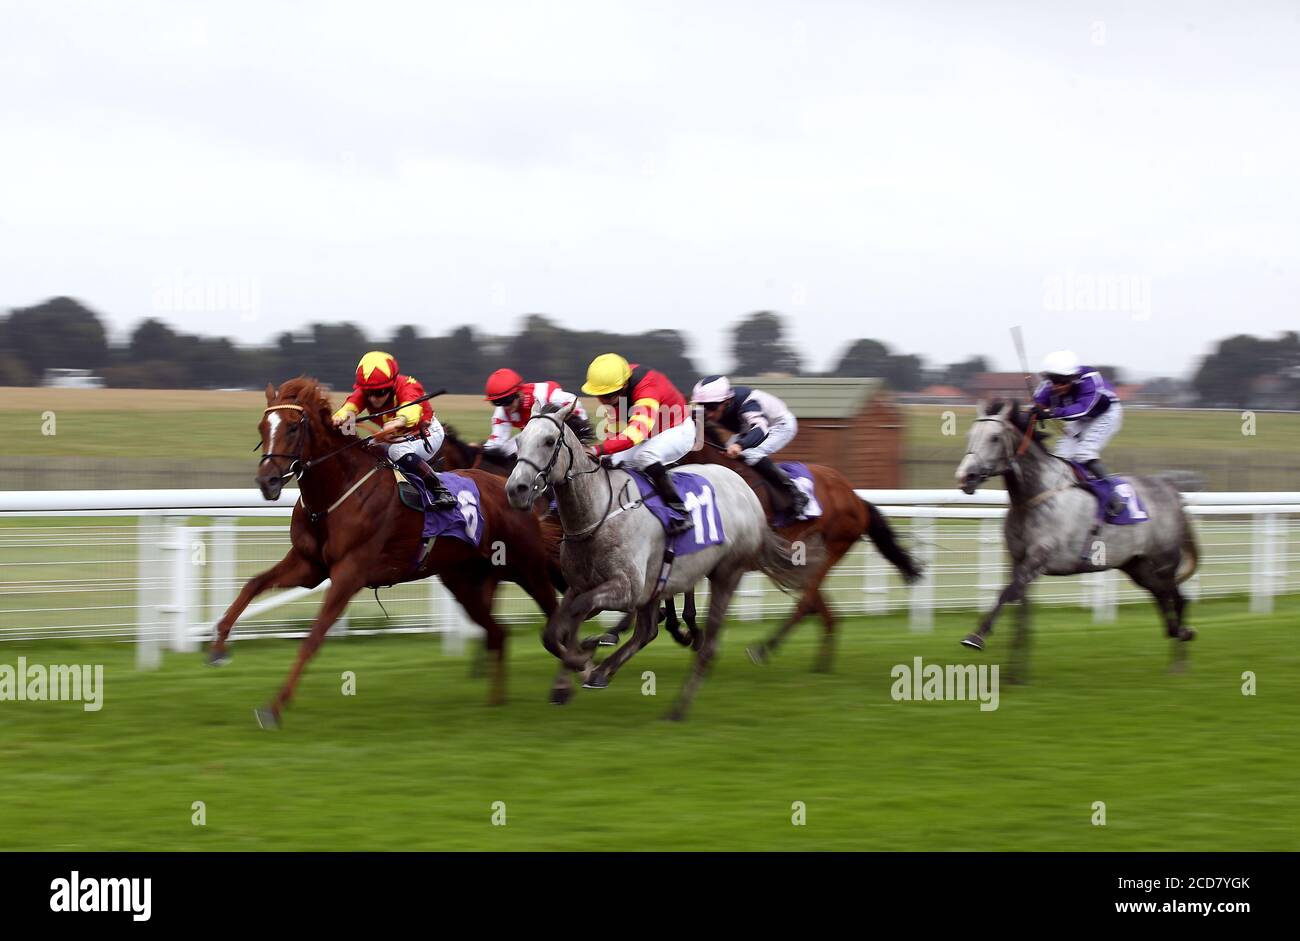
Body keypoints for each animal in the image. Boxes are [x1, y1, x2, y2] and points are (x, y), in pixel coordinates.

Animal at [208, 376, 564, 727]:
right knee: (499, 633)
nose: (266, 481)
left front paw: (274, 708)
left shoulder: (349, 573)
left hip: (527, 568)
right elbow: (253, 584)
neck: (337, 491)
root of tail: (514, 491)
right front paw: (218, 646)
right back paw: (495, 701)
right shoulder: (309, 565)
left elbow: (313, 637)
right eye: (262, 427)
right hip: (464, 581)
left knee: (552, 615)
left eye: (294, 427)